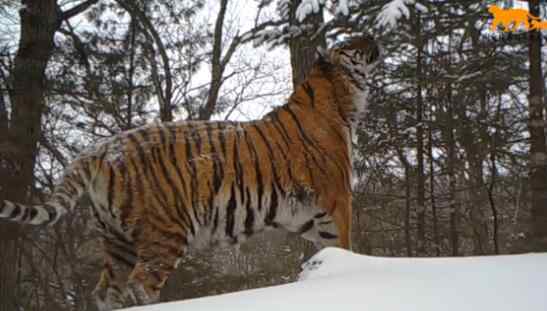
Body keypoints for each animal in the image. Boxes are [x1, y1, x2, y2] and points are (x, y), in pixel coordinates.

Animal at [0, 34, 382, 311]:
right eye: (350, 44)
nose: (371, 36)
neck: (338, 99)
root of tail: (100, 149)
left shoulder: (306, 217)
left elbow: (325, 253)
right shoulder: (337, 201)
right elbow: (347, 245)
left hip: (117, 239)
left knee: (106, 291)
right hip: (164, 232)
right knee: (140, 285)